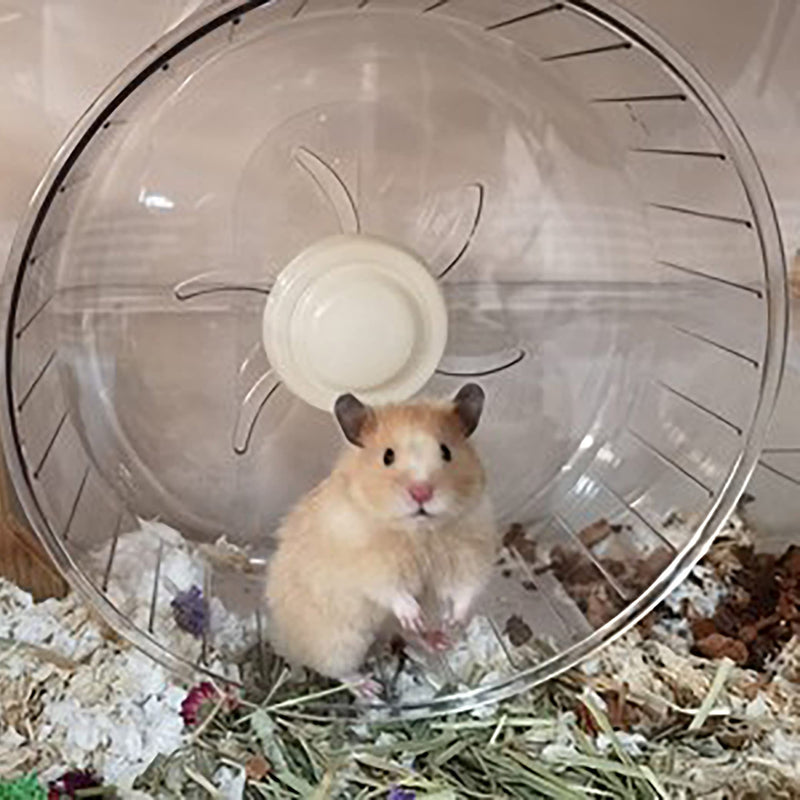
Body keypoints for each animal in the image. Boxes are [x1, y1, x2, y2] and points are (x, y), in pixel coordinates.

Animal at [265, 383, 497, 689]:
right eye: (388, 456)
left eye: (446, 451)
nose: (421, 493)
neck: (419, 533)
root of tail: (280, 639)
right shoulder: (368, 565)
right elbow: (391, 590)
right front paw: (413, 614)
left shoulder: (471, 549)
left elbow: (465, 589)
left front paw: (455, 622)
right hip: (339, 641)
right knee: (337, 670)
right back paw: (369, 686)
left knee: (407, 637)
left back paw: (437, 638)